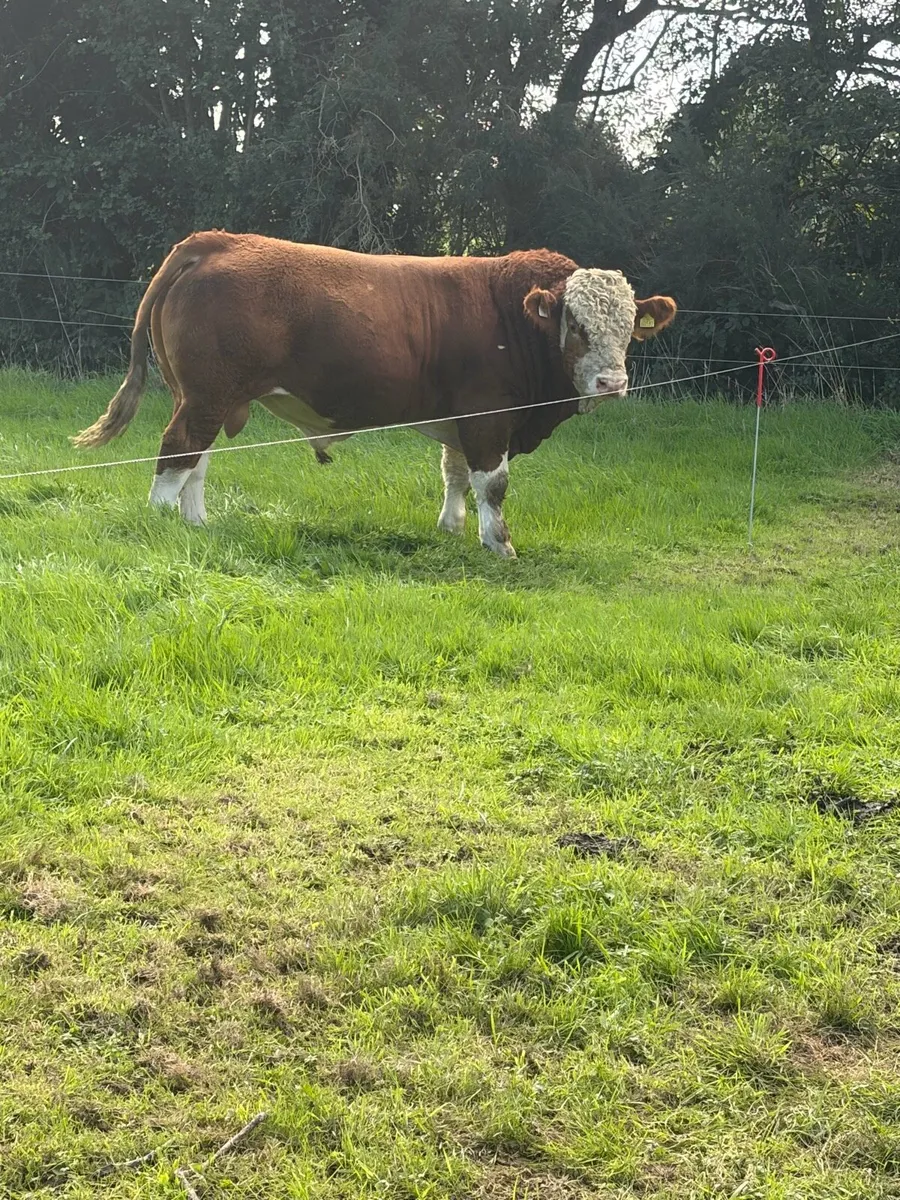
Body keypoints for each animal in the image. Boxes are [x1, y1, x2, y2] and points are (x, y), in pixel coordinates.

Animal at [73, 231, 676, 557]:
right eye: (576, 324)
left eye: (629, 328)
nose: (612, 383)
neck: (511, 315)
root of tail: (216, 241)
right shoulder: (488, 416)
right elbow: (494, 484)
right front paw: (499, 543)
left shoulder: (460, 419)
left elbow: (455, 475)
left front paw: (452, 528)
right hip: (205, 396)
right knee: (178, 452)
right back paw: (161, 522)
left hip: (207, 398)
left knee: (196, 460)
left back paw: (196, 523)